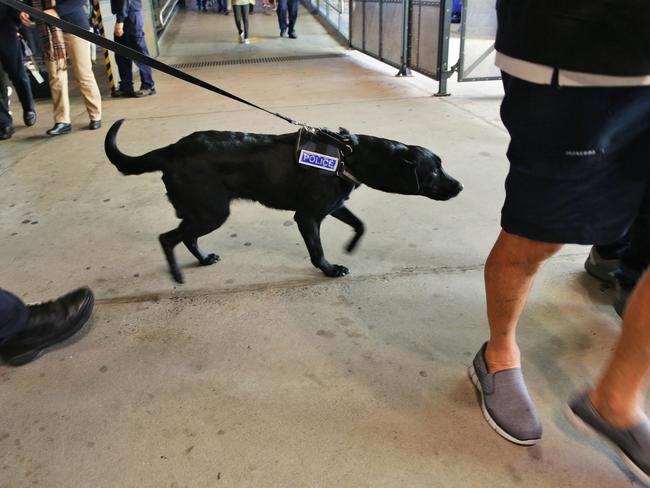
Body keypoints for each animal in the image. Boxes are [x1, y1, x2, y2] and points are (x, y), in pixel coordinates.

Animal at [105, 119, 460, 284]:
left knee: (186, 237)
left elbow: (360, 224)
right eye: (435, 169)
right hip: (211, 212)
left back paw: (204, 260)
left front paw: (350, 247)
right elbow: (317, 250)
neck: (350, 155)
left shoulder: (332, 206)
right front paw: (330, 269)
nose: (461, 185)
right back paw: (177, 274)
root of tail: (171, 150)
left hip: (203, 212)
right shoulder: (307, 216)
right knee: (169, 238)